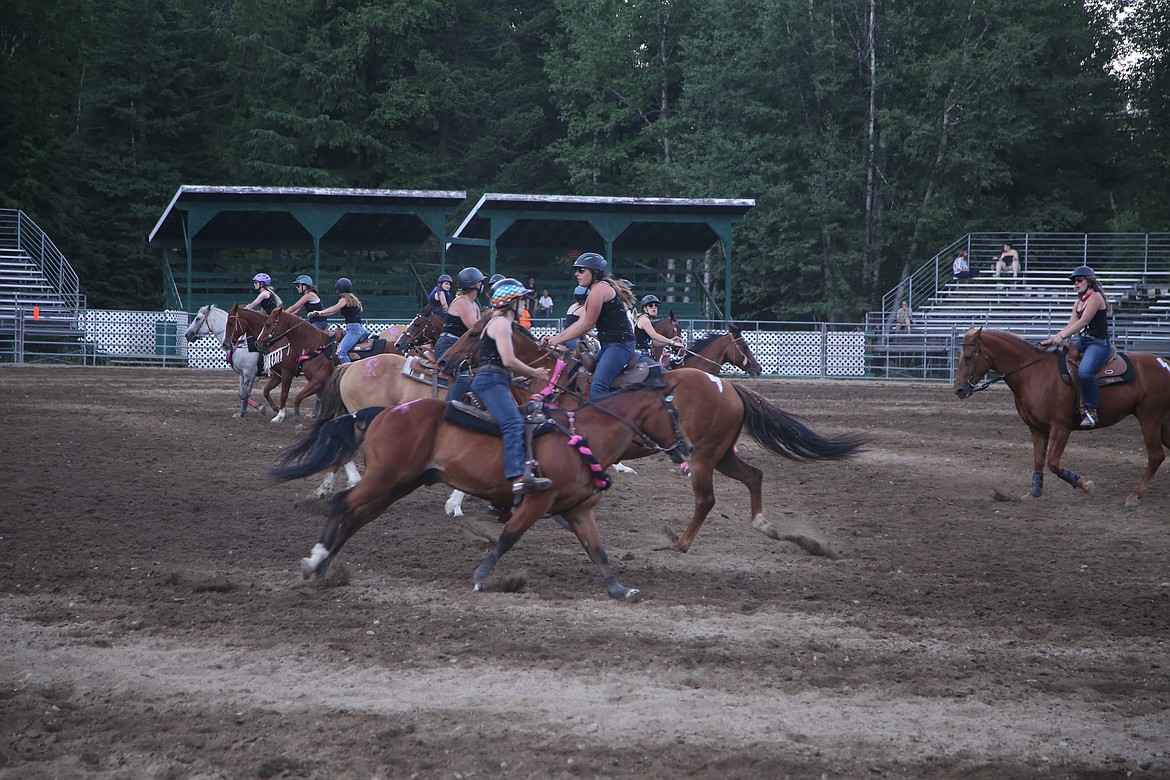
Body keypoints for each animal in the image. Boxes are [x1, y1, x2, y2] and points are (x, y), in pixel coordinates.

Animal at [271, 381, 692, 603]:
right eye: (673, 413)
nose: (687, 447)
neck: (580, 437)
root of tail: (385, 412)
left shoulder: (579, 509)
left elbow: (597, 550)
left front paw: (619, 588)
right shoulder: (537, 500)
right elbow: (508, 538)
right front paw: (481, 576)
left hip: (398, 484)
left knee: (358, 515)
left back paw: (323, 565)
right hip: (386, 478)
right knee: (344, 505)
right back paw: (315, 560)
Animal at [439, 322, 870, 554]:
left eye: (474, 333)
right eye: (744, 344)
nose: (445, 361)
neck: (551, 376)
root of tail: (727, 387)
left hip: (706, 456)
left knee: (707, 499)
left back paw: (678, 543)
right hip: (721, 454)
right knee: (754, 475)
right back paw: (762, 525)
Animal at [954, 327, 1165, 507]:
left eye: (968, 357)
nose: (959, 390)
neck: (1032, 373)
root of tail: (1163, 363)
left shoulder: (1060, 427)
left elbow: (1053, 463)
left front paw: (1086, 485)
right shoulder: (1036, 428)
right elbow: (1038, 459)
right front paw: (1034, 492)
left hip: (1150, 419)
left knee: (1156, 456)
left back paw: (1134, 496)